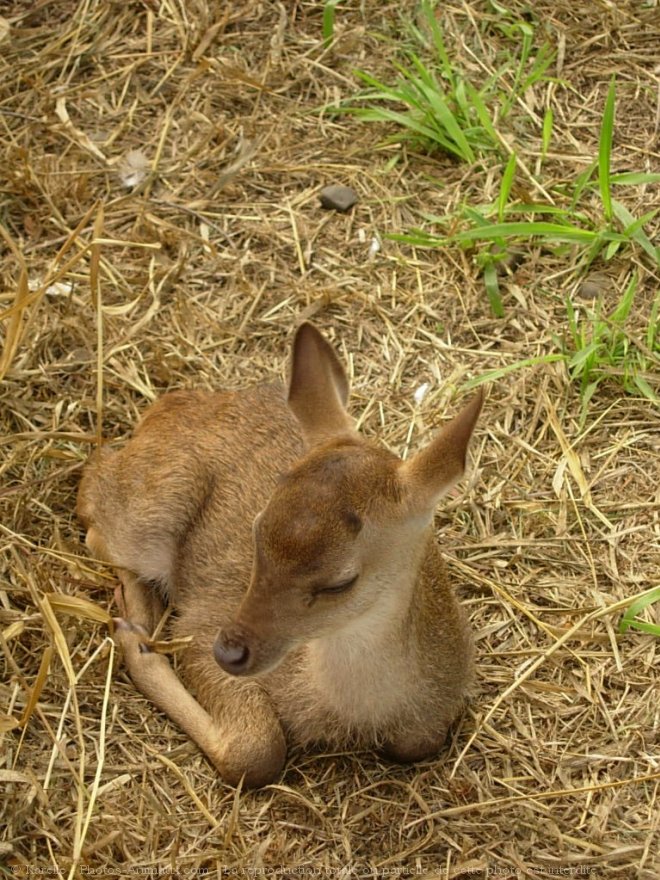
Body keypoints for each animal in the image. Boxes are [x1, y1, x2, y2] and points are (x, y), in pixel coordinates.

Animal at [77, 320, 482, 788]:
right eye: (257, 531)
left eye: (340, 581)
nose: (229, 651)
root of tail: (171, 402)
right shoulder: (201, 626)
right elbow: (257, 751)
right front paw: (136, 644)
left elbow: (419, 742)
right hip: (153, 506)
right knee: (93, 506)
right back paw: (135, 617)